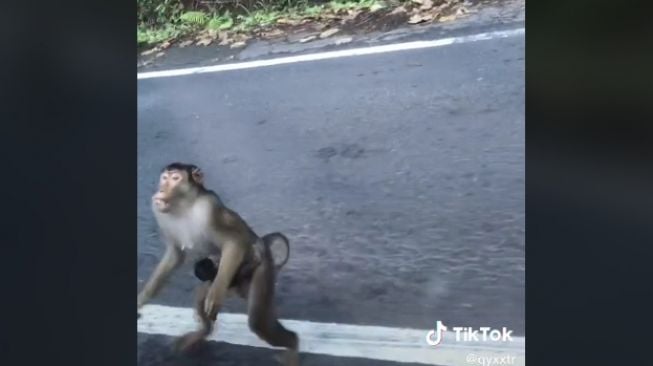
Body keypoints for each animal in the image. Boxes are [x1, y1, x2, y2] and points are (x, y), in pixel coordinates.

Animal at [138, 164, 300, 366]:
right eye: (164, 178)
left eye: (175, 178)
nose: (161, 190)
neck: (184, 206)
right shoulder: (158, 211)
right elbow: (175, 255)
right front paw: (142, 298)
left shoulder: (209, 208)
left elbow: (234, 242)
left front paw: (214, 297)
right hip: (224, 281)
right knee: (202, 297)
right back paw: (202, 333)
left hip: (261, 269)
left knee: (259, 323)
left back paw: (293, 344)